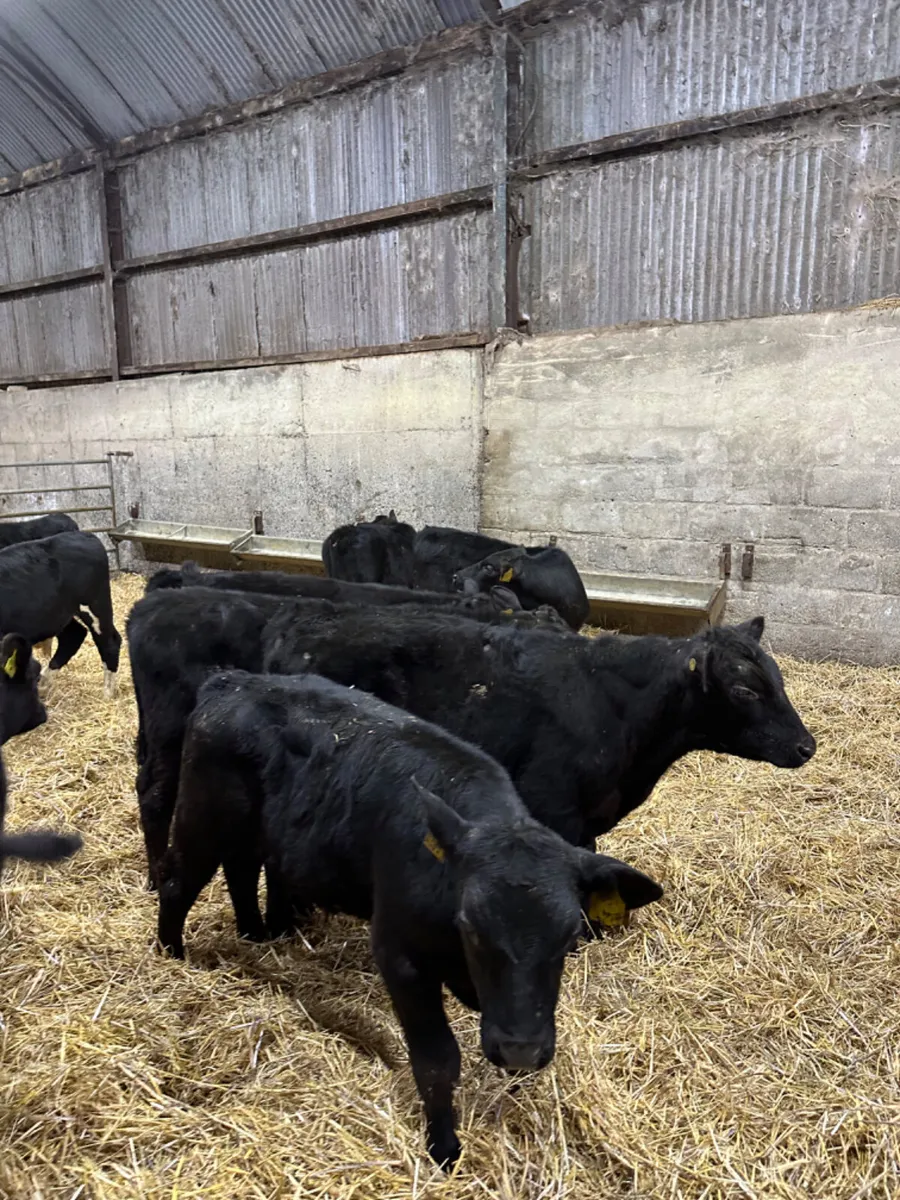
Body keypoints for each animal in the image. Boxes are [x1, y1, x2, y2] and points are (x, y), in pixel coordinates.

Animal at [0, 531, 122, 698]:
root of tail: (85, 535)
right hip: (56, 614)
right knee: (74, 636)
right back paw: (43, 684)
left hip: (95, 604)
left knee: (109, 642)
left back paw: (108, 694)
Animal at [157, 671, 663, 1167]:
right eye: (471, 926)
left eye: (570, 934)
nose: (520, 1050)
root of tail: (234, 681)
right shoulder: (400, 957)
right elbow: (437, 1060)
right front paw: (444, 1150)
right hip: (201, 821)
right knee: (178, 886)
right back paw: (170, 956)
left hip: (248, 833)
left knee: (242, 871)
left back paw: (254, 937)